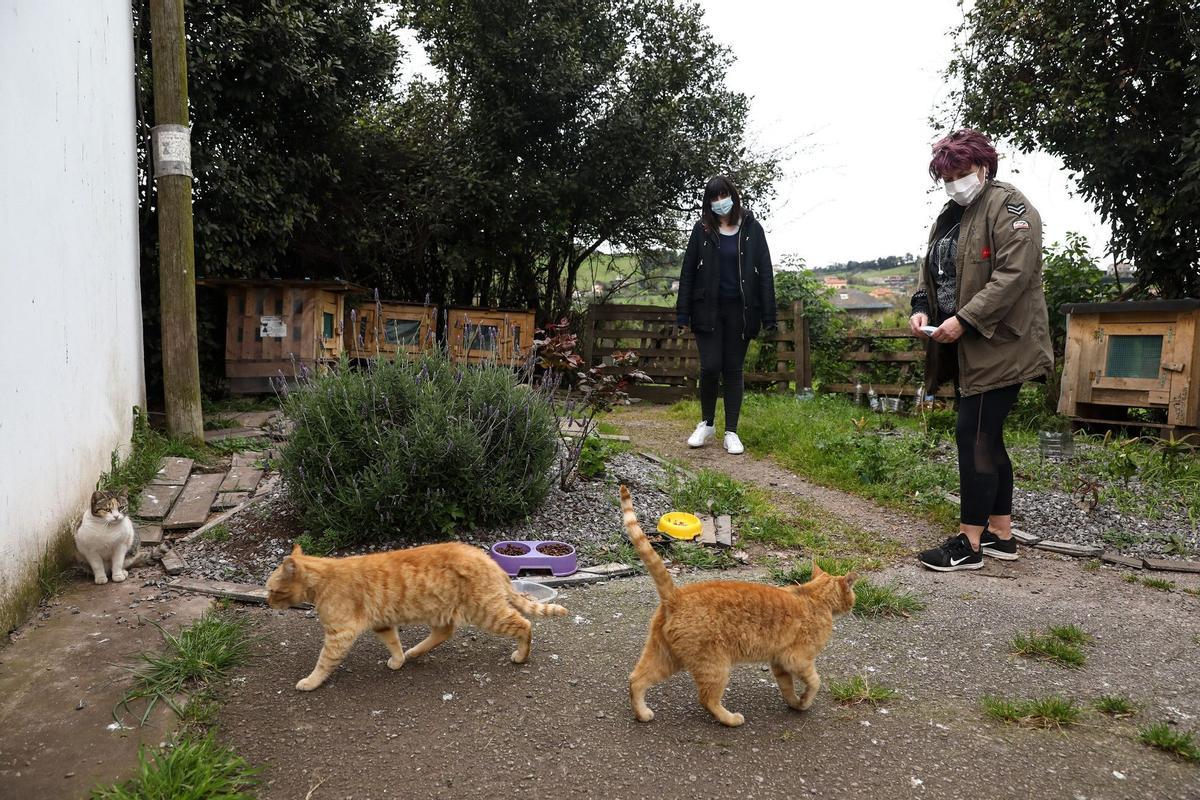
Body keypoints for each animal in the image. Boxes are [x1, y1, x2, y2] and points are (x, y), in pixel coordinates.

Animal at [267, 542, 566, 690]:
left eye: (272, 590)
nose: (268, 601)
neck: (323, 577)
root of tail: (489, 560)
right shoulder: (382, 623)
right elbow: (393, 643)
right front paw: (398, 659)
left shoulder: (339, 633)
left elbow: (323, 662)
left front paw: (310, 682)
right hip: (440, 610)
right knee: (444, 632)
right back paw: (414, 652)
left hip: (486, 612)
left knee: (524, 624)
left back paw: (521, 655)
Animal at [624, 484, 859, 729]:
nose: (854, 603)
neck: (814, 596)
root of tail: (676, 595)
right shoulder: (798, 659)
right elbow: (815, 682)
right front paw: (805, 701)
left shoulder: (779, 662)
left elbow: (787, 688)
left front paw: (796, 703)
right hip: (715, 664)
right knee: (706, 698)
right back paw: (730, 719)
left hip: (665, 656)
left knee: (636, 680)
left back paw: (642, 713)